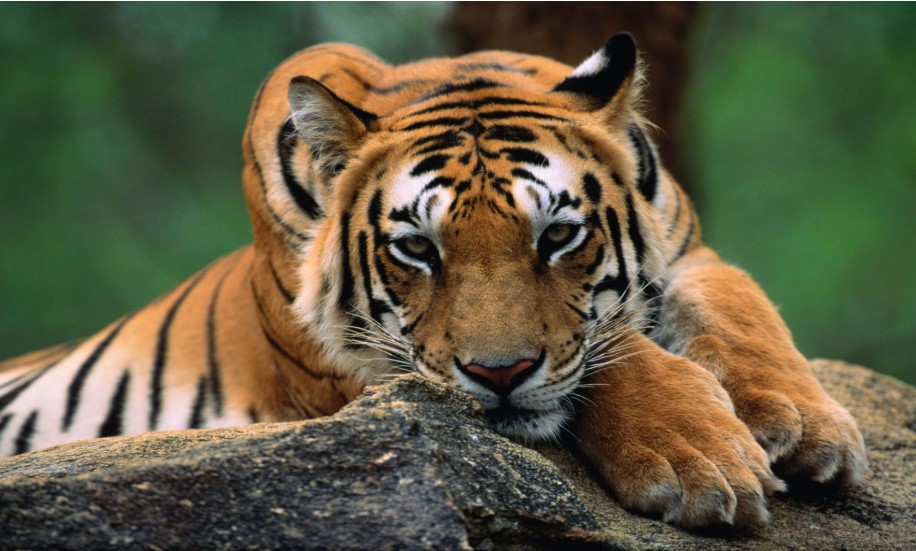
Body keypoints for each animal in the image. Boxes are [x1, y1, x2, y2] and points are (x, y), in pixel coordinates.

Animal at [0, 33, 867, 528]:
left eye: (557, 235)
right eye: (417, 248)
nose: (500, 375)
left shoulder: (689, 253)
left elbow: (742, 308)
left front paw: (806, 425)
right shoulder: (352, 367)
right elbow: (613, 356)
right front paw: (703, 461)